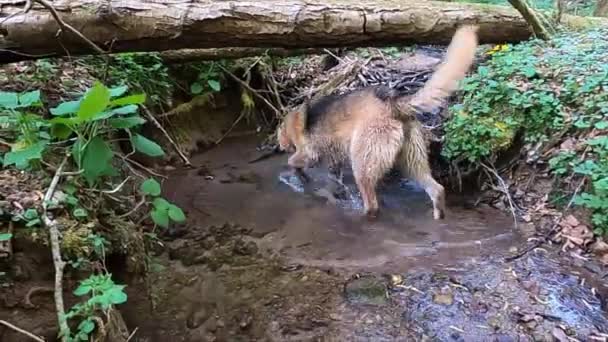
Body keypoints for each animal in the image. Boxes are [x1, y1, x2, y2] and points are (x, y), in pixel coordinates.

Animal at [276, 26, 480, 219]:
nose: (280, 146)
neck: (292, 121)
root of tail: (393, 103)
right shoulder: (333, 162)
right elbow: (334, 179)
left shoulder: (309, 153)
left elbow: (293, 161)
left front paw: (298, 174)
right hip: (412, 162)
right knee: (437, 189)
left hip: (362, 165)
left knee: (372, 204)